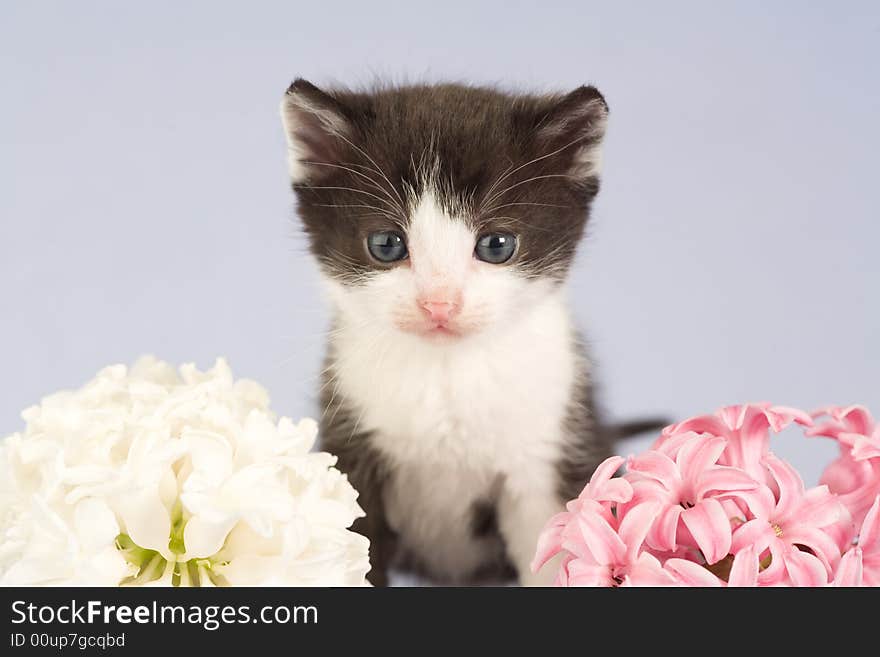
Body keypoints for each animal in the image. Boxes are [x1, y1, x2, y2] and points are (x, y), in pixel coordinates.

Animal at [284, 78, 652, 584]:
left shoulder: (545, 451)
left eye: (497, 245)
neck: (446, 373)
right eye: (386, 244)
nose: (440, 303)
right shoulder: (351, 447)